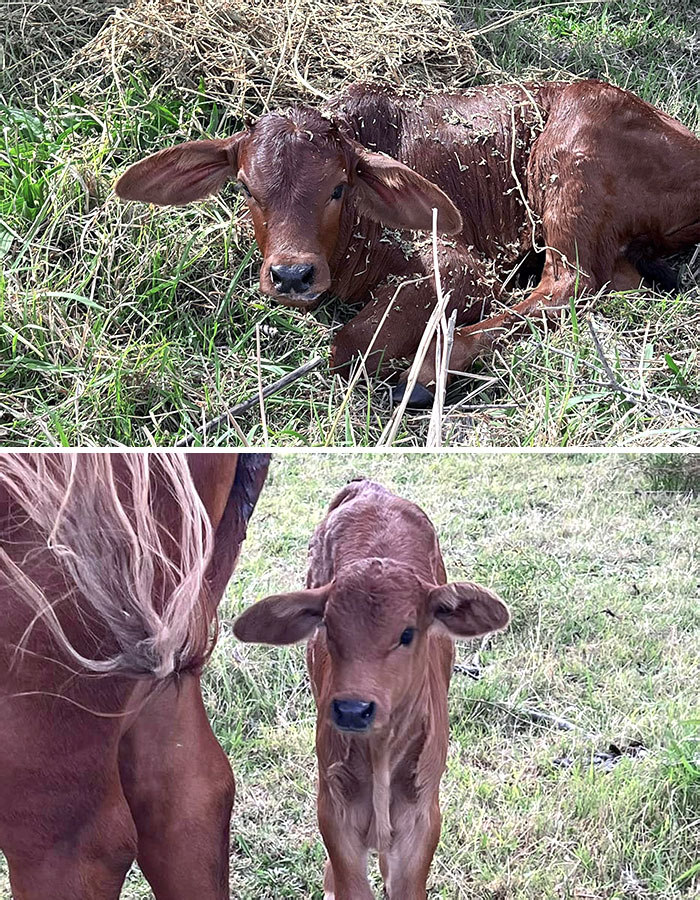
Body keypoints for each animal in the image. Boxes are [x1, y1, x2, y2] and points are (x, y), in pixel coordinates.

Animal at [116, 79, 700, 407]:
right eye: (246, 188)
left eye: (338, 187)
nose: (292, 275)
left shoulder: (460, 266)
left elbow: (350, 343)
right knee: (613, 281)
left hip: (569, 163)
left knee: (564, 286)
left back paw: (426, 374)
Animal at [233, 479, 510, 899]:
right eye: (328, 629)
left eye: (407, 633)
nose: (352, 709)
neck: (380, 755)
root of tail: (369, 486)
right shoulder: (334, 810)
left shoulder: (423, 817)